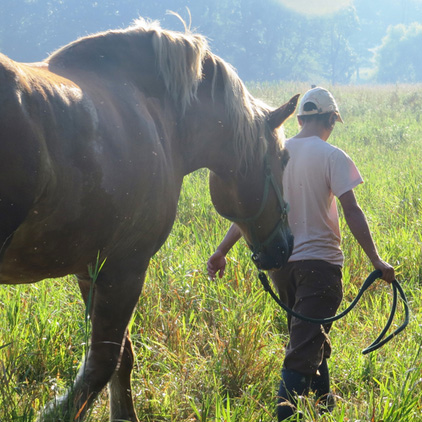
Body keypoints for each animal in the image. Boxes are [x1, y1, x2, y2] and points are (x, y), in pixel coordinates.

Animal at [0, 17, 296, 422]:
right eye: (283, 158)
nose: (286, 246)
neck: (156, 117)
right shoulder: (126, 267)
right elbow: (103, 364)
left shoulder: (92, 271)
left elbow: (119, 359)